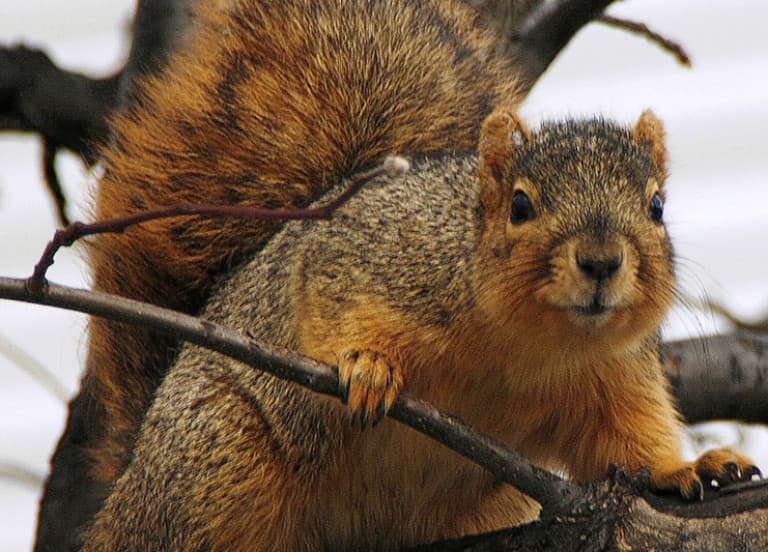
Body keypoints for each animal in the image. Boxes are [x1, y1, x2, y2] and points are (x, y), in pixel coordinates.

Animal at [81, 109, 759, 550]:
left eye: (657, 207)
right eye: (520, 205)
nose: (600, 262)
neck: (528, 343)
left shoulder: (614, 375)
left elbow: (628, 438)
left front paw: (691, 467)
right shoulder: (364, 252)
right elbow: (325, 295)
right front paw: (369, 366)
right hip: (214, 457)